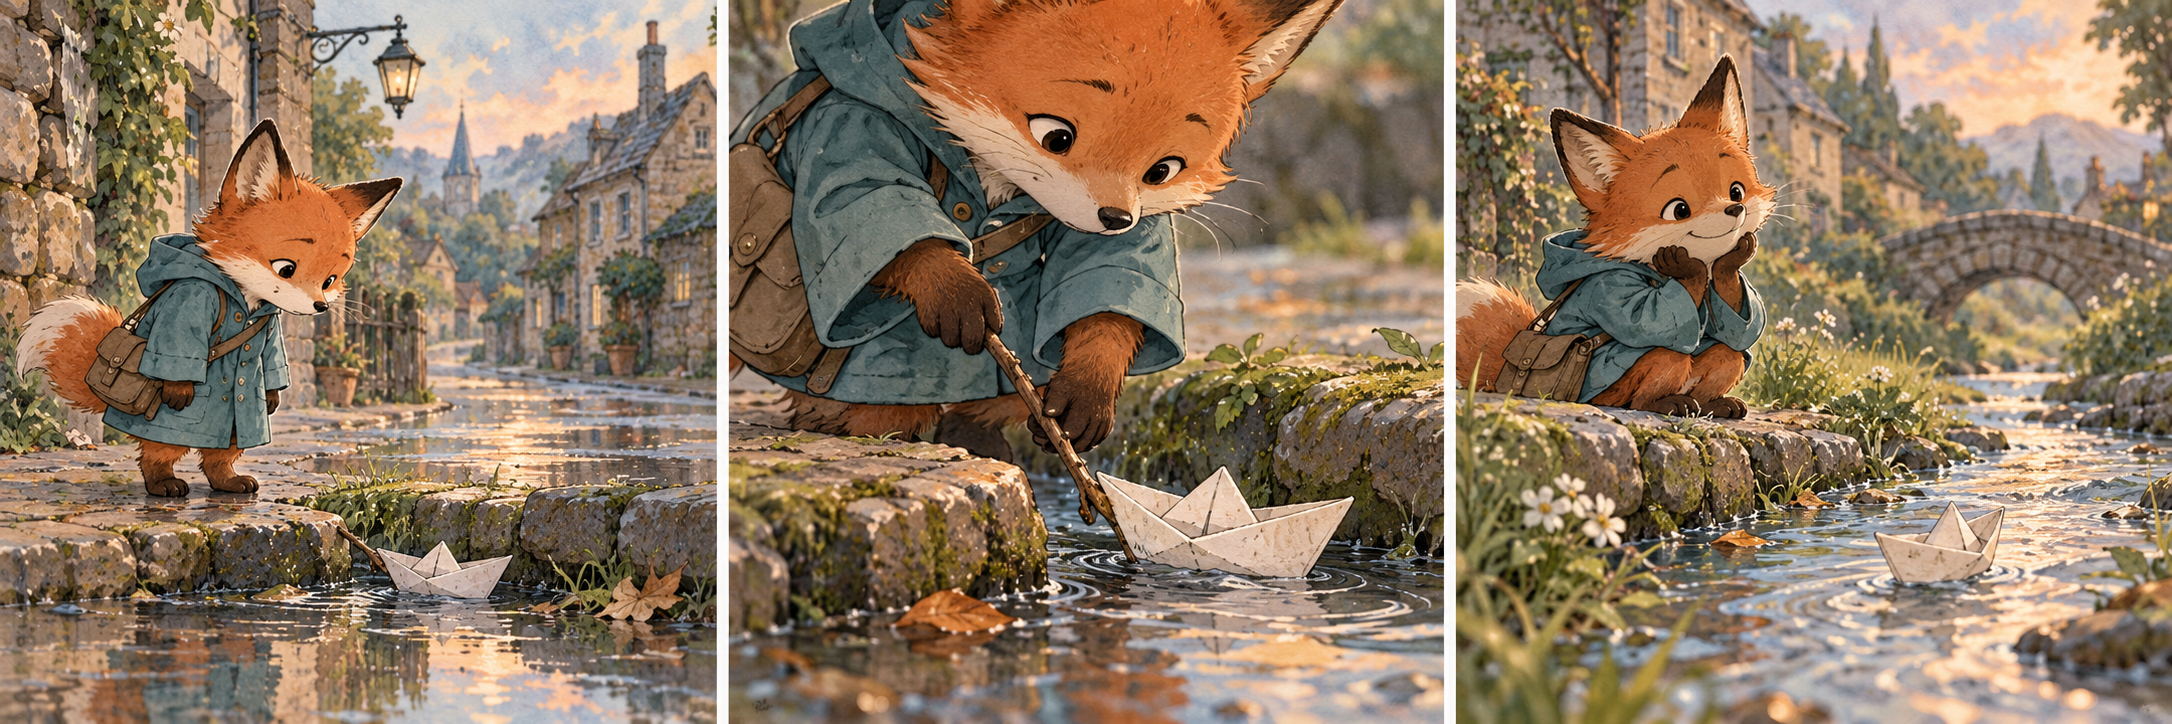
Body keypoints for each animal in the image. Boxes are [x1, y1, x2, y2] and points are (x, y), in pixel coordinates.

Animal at [16, 119, 401, 497]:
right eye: (286, 269)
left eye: (330, 279)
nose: (319, 306)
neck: (245, 297)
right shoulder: (192, 298)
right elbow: (181, 345)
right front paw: (180, 390)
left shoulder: (269, 330)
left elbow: (271, 364)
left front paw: (272, 397)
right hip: (167, 426)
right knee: (156, 452)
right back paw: (163, 484)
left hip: (235, 431)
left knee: (220, 454)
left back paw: (230, 482)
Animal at [736, 0, 1344, 459]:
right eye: (1056, 136)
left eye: (1161, 171)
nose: (1116, 218)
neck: (994, 176)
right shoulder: (855, 124)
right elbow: (870, 200)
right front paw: (955, 292)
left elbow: (1109, 283)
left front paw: (1085, 394)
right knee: (875, 412)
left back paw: (979, 438)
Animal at [1457, 56, 1772, 419]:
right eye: (1679, 209)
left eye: (1736, 190)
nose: (1735, 209)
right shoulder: (1609, 289)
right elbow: (1649, 318)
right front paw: (1686, 268)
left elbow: (1738, 325)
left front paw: (1731, 261)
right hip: (1633, 376)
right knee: (1650, 379)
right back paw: (1669, 403)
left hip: (1724, 361)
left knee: (1728, 352)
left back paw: (1715, 405)